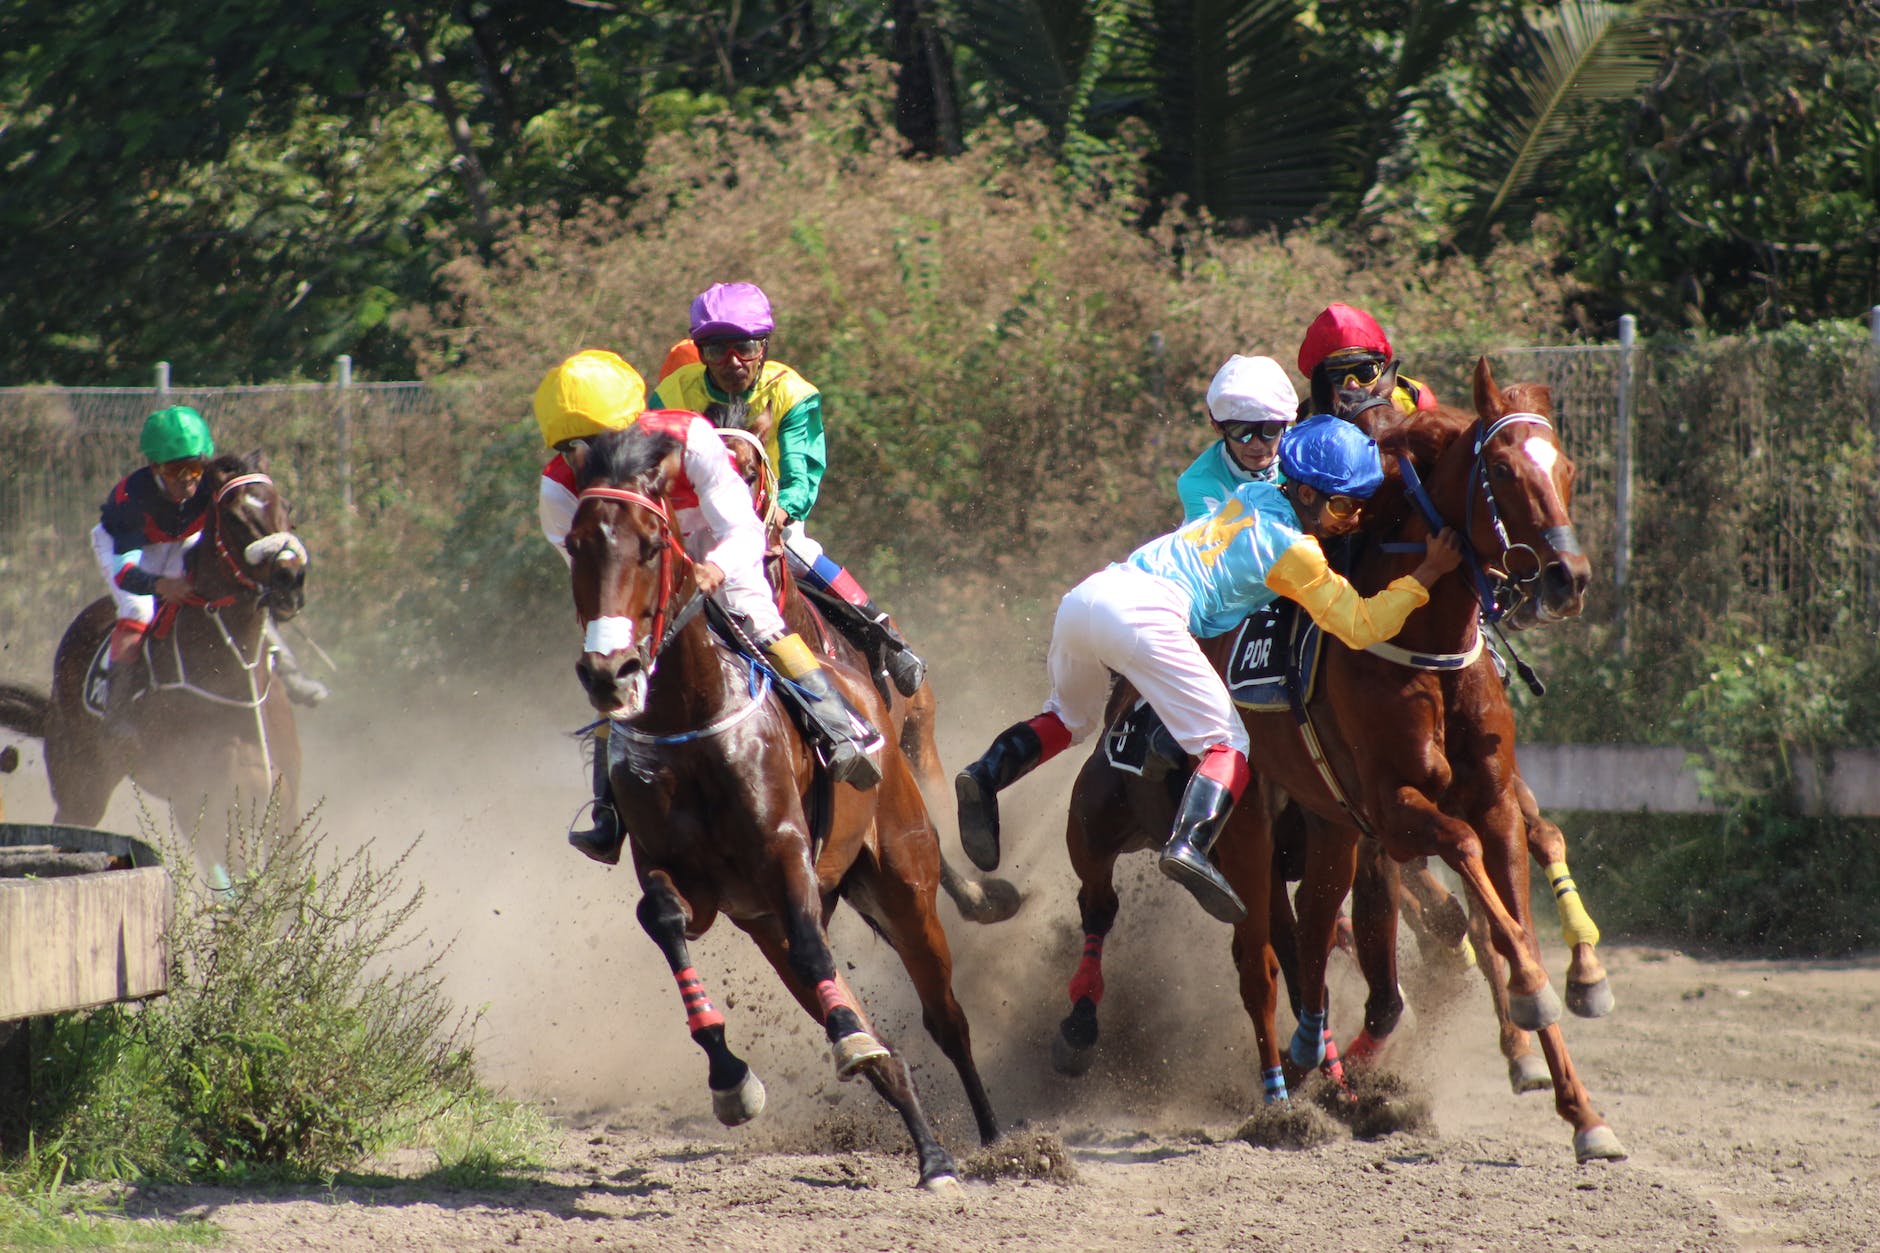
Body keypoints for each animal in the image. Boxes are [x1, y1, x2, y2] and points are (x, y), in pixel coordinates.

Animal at [0, 453, 308, 872]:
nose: (291, 578)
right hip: (81, 788)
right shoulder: (203, 801)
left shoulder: (281, 801)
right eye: (234, 516)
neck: (232, 685)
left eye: (287, 508)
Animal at [564, 421, 1007, 1189]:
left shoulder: (784, 852)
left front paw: (847, 1042)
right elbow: (665, 917)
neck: (690, 717)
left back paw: (989, 1136)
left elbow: (810, 936)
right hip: (773, 925)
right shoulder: (686, 874)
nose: (609, 671)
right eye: (575, 545)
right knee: (880, 1043)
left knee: (944, 1015)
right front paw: (730, 1078)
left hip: (904, 872)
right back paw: (927, 1144)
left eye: (650, 544)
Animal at [1052, 355, 1624, 1158]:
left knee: (1315, 939)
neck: (1426, 652)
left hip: (1326, 835)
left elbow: (1511, 886)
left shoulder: (1485, 804)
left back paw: (1317, 1060)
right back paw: (1270, 1094)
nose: (1567, 578)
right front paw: (1535, 998)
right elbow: (1468, 872)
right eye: (1504, 469)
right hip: (1217, 829)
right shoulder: (1393, 812)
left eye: (1566, 467)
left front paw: (1582, 1108)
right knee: (1243, 956)